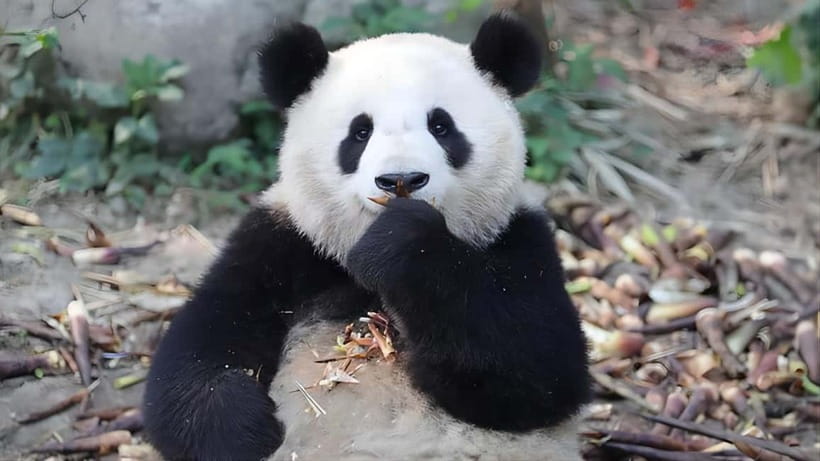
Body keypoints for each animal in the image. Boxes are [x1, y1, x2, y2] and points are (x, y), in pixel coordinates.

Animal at [143, 12, 590, 461]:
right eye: (360, 133)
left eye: (441, 126)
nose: (400, 179)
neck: (353, 256)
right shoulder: (283, 245)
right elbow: (201, 347)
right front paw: (244, 431)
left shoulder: (517, 239)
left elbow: (538, 366)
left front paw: (401, 243)